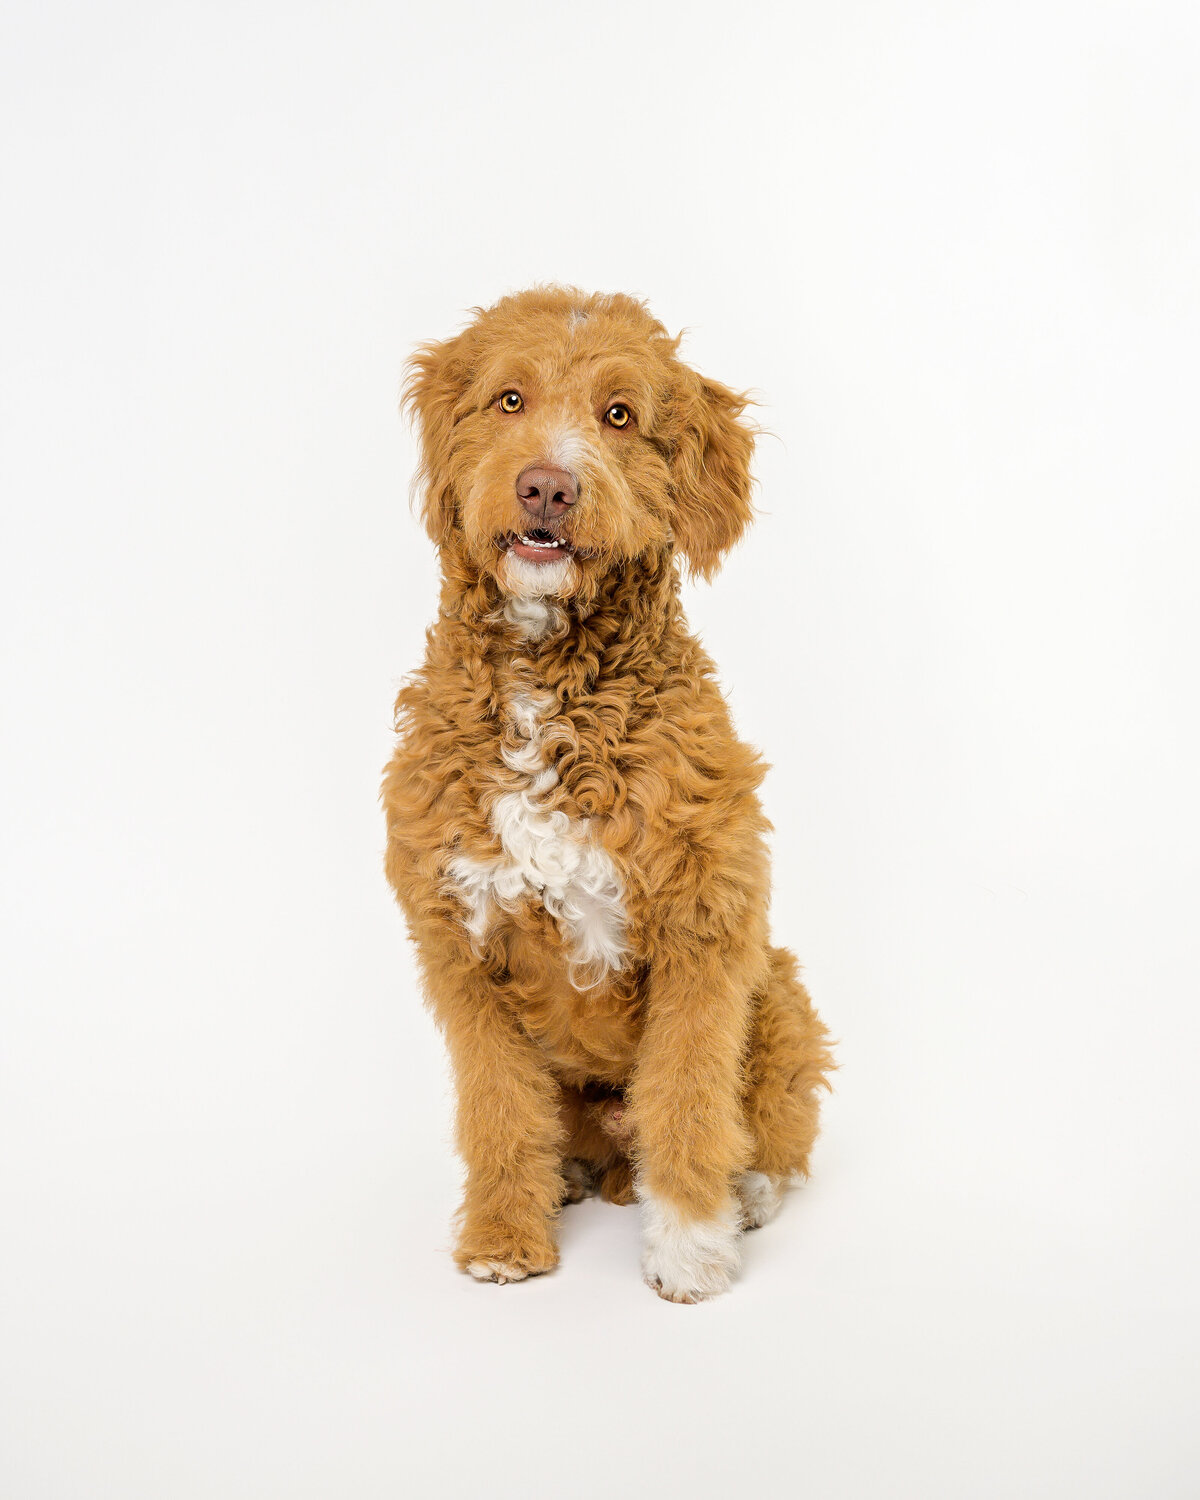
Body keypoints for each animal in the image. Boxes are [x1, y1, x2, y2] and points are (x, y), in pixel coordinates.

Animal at [384, 283, 834, 1302]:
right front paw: (504, 1236)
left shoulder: (705, 928)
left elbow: (688, 1097)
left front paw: (691, 1248)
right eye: (510, 400)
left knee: (769, 1125)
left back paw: (745, 1191)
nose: (547, 486)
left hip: (781, 992)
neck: (548, 682)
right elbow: (499, 1108)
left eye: (619, 415)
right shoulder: (460, 946)